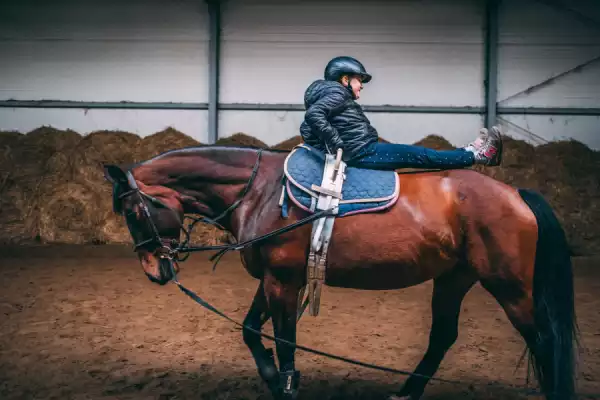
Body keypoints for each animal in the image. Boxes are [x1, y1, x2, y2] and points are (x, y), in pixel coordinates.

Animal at [104, 144, 580, 400]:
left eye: (133, 211)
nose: (154, 270)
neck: (260, 193)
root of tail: (515, 193)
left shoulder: (283, 281)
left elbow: (284, 339)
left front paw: (287, 385)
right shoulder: (274, 279)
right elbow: (251, 331)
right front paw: (274, 381)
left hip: (510, 287)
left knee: (545, 341)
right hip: (454, 278)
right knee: (443, 336)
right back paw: (406, 391)